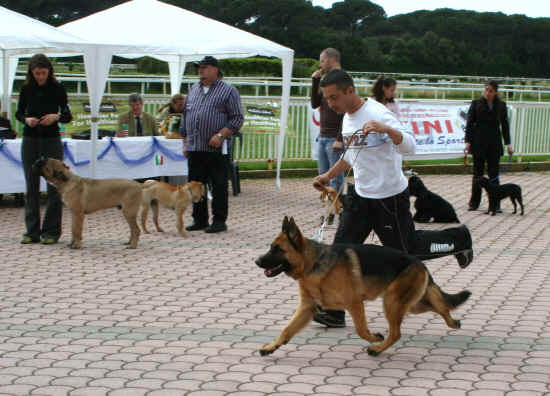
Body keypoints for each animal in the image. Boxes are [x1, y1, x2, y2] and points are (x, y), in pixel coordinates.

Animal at [256, 218, 472, 358]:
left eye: (278, 250)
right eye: (270, 247)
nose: (256, 261)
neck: (313, 263)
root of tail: (419, 263)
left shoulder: (354, 303)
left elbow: (361, 330)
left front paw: (373, 337)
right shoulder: (307, 308)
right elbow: (287, 330)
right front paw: (271, 346)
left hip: (393, 303)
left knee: (396, 333)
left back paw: (377, 349)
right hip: (412, 304)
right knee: (441, 306)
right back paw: (453, 322)